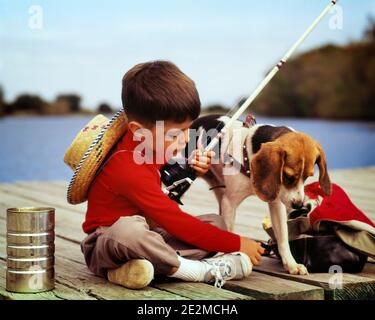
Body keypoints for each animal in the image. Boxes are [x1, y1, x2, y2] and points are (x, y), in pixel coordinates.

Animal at [186, 114, 332, 274]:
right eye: (288, 176)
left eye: (307, 177)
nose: (298, 205)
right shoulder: (230, 203)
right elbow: (231, 232)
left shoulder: (276, 204)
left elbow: (282, 237)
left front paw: (291, 264)